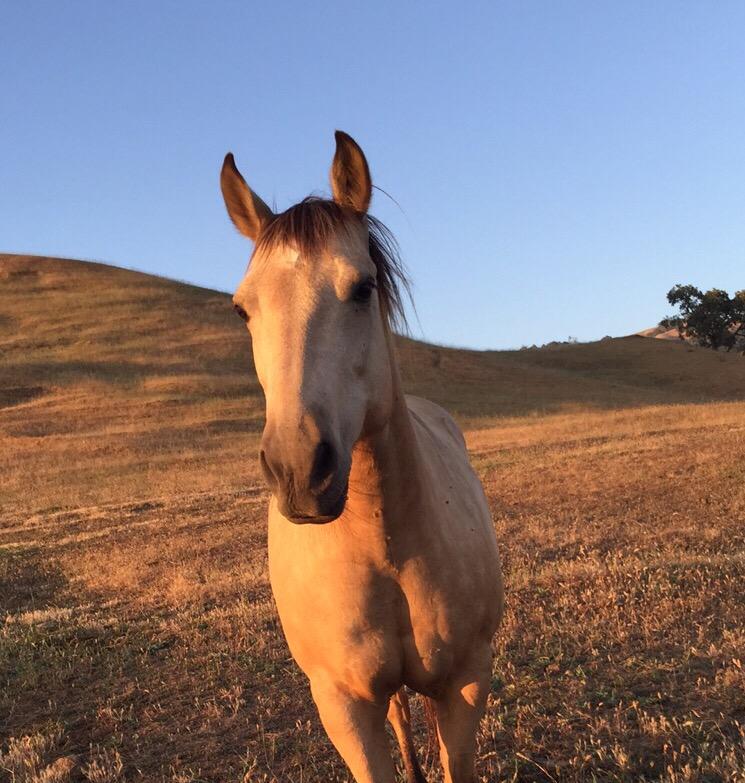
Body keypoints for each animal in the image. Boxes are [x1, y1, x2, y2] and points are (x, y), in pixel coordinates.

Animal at [220, 131, 504, 783]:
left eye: (362, 287)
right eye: (243, 309)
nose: (299, 470)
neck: (385, 543)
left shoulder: (466, 683)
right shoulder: (343, 705)